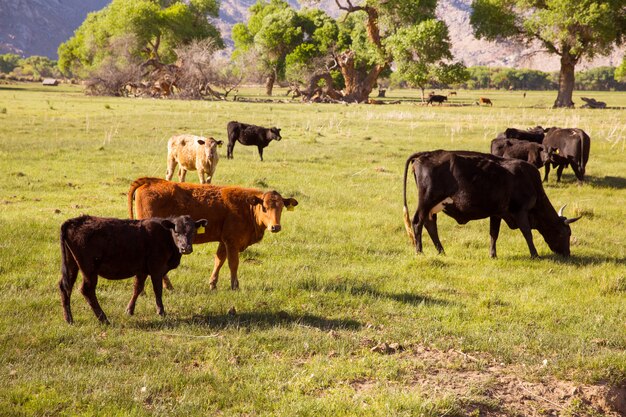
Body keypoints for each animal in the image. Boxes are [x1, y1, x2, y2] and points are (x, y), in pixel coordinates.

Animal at [58, 213, 207, 324]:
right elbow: (157, 290)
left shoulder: (142, 270)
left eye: (193, 231)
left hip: (71, 264)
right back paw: (104, 319)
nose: (186, 248)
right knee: (87, 290)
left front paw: (129, 310)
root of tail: (75, 221)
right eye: (176, 231)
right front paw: (161, 312)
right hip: (89, 269)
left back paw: (69, 319)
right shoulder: (156, 268)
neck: (165, 236)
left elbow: (137, 288)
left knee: (65, 286)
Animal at [127, 177, 298, 290]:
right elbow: (233, 263)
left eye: (281, 207)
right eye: (265, 208)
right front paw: (235, 286)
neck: (246, 207)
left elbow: (219, 260)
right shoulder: (232, 241)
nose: (275, 227)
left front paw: (213, 284)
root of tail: (150, 181)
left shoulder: (224, 241)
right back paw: (166, 287)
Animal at [400, 151, 580, 256]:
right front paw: (534, 254)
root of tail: (425, 155)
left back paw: (441, 251)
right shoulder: (520, 211)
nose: (567, 254)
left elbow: (494, 234)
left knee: (430, 224)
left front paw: (493, 254)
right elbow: (527, 233)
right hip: (426, 201)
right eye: (566, 233)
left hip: (433, 206)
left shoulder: (497, 213)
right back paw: (419, 251)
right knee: (418, 222)